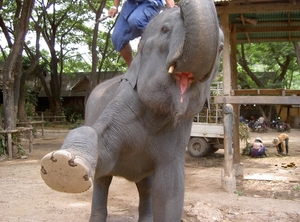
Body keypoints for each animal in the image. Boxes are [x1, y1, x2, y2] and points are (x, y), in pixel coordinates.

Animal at [39, 0, 223, 220]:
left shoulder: (179, 133)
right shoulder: (124, 103)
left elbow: (171, 187)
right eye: (165, 30)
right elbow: (103, 156)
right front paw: (62, 164)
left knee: (146, 186)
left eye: (221, 47)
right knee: (102, 181)